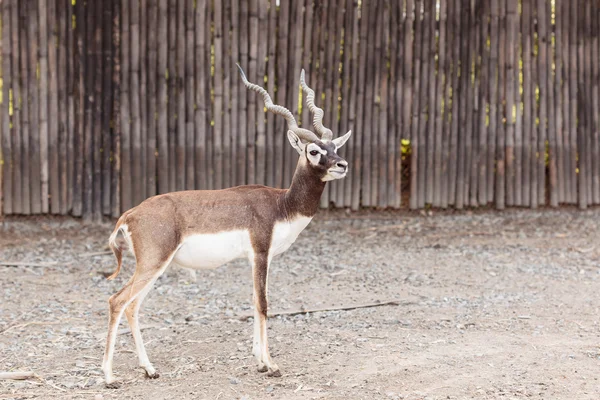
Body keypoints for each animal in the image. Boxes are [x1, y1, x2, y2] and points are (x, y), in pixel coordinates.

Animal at [102, 65, 352, 388]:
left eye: (333, 146)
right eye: (313, 151)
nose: (342, 165)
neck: (281, 204)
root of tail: (131, 213)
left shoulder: (256, 259)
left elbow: (254, 303)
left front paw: (259, 362)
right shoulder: (260, 253)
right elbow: (264, 305)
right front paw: (271, 365)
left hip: (155, 267)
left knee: (132, 306)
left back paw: (149, 369)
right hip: (153, 263)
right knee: (117, 301)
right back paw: (109, 376)